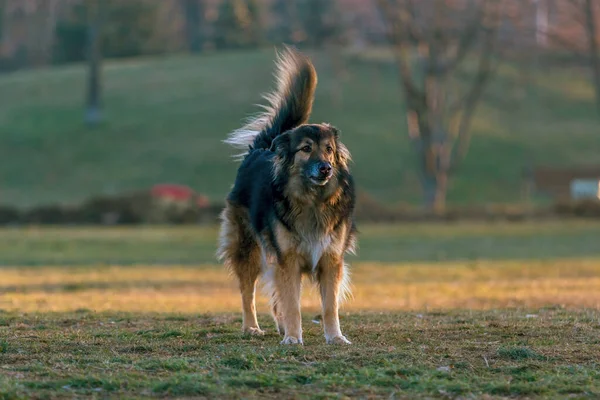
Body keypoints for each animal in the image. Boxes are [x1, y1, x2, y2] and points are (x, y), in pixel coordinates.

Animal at [217, 47, 354, 346]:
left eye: (328, 149)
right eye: (305, 149)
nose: (325, 168)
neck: (312, 200)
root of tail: (261, 148)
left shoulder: (330, 259)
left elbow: (329, 306)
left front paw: (335, 337)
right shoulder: (287, 259)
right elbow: (292, 303)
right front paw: (293, 338)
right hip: (248, 248)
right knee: (248, 292)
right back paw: (252, 327)